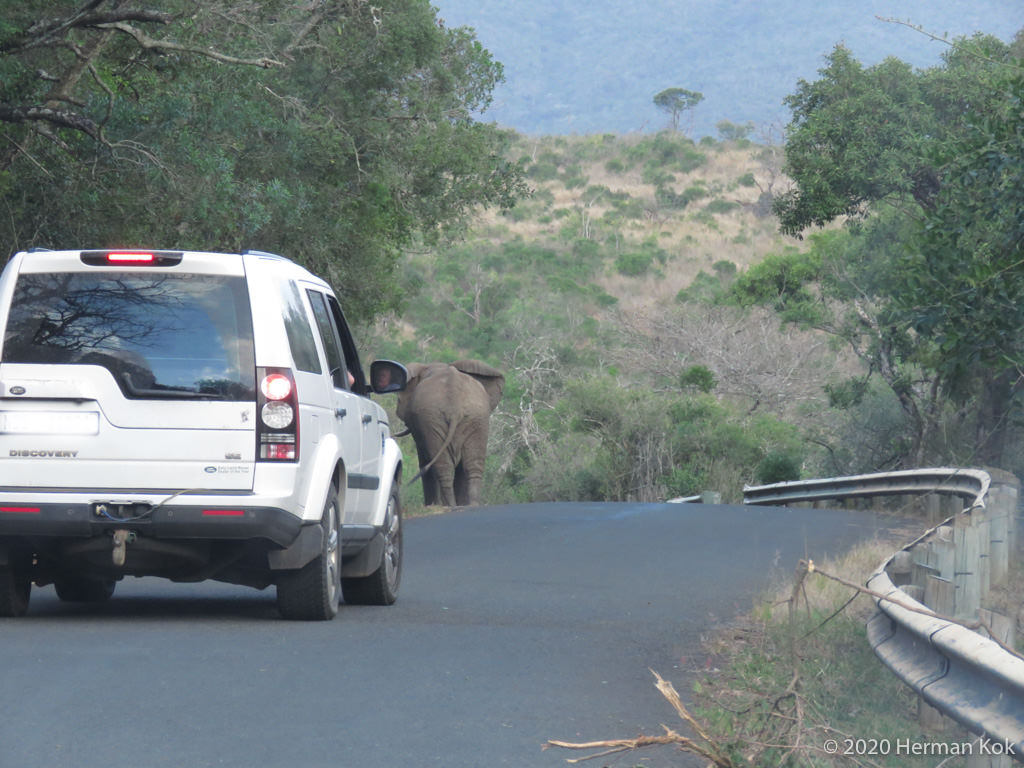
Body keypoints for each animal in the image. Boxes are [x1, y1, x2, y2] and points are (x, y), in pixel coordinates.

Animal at [394, 360, 504, 508]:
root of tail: (455, 407)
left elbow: (424, 460)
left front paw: (431, 505)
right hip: (475, 417)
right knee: (472, 465)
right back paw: (468, 505)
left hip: (436, 418)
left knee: (444, 467)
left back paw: (450, 506)